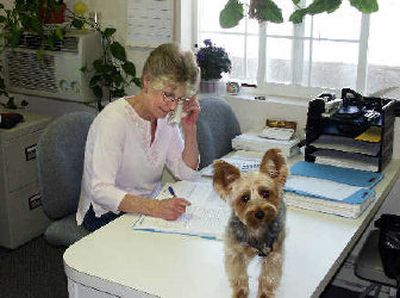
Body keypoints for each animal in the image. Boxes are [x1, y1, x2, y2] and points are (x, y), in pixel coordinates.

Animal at [212, 149, 288, 298]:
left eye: (265, 193)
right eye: (245, 197)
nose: (260, 214)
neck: (255, 228)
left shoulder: (274, 252)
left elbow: (268, 274)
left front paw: (264, 293)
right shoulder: (234, 249)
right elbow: (239, 272)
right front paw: (240, 292)